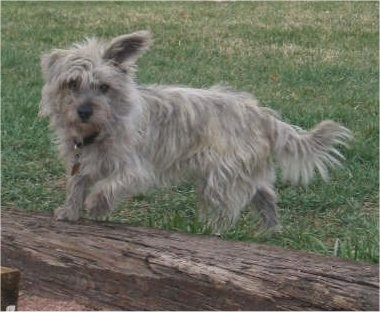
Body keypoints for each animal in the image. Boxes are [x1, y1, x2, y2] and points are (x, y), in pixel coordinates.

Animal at [40, 30, 352, 234]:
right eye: (72, 84)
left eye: (103, 87)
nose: (84, 111)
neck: (99, 129)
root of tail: (261, 114)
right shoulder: (82, 162)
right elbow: (76, 184)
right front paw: (70, 211)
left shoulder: (134, 168)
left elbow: (110, 186)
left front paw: (96, 205)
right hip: (244, 172)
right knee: (265, 196)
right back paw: (270, 231)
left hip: (221, 176)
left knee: (227, 208)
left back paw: (213, 231)